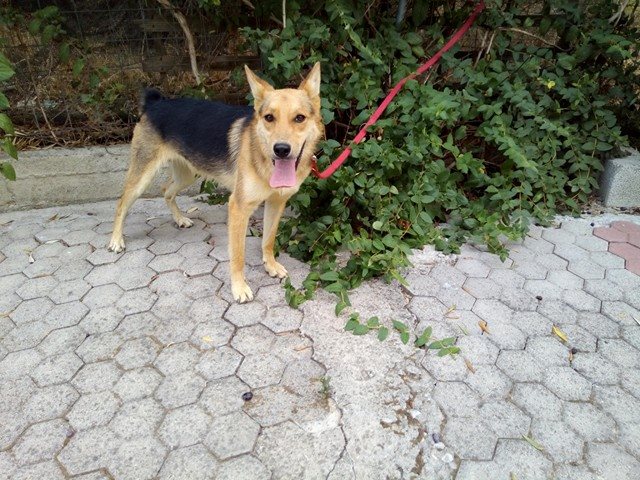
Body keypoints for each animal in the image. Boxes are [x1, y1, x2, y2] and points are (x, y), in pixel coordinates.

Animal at [108, 63, 323, 303]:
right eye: (269, 118)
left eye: (299, 118)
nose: (281, 149)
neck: (265, 161)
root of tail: (156, 102)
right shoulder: (238, 208)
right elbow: (238, 256)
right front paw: (239, 287)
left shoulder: (276, 203)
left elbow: (268, 240)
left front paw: (271, 265)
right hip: (142, 178)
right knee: (121, 203)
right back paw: (116, 240)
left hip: (188, 174)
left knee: (166, 190)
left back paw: (180, 219)